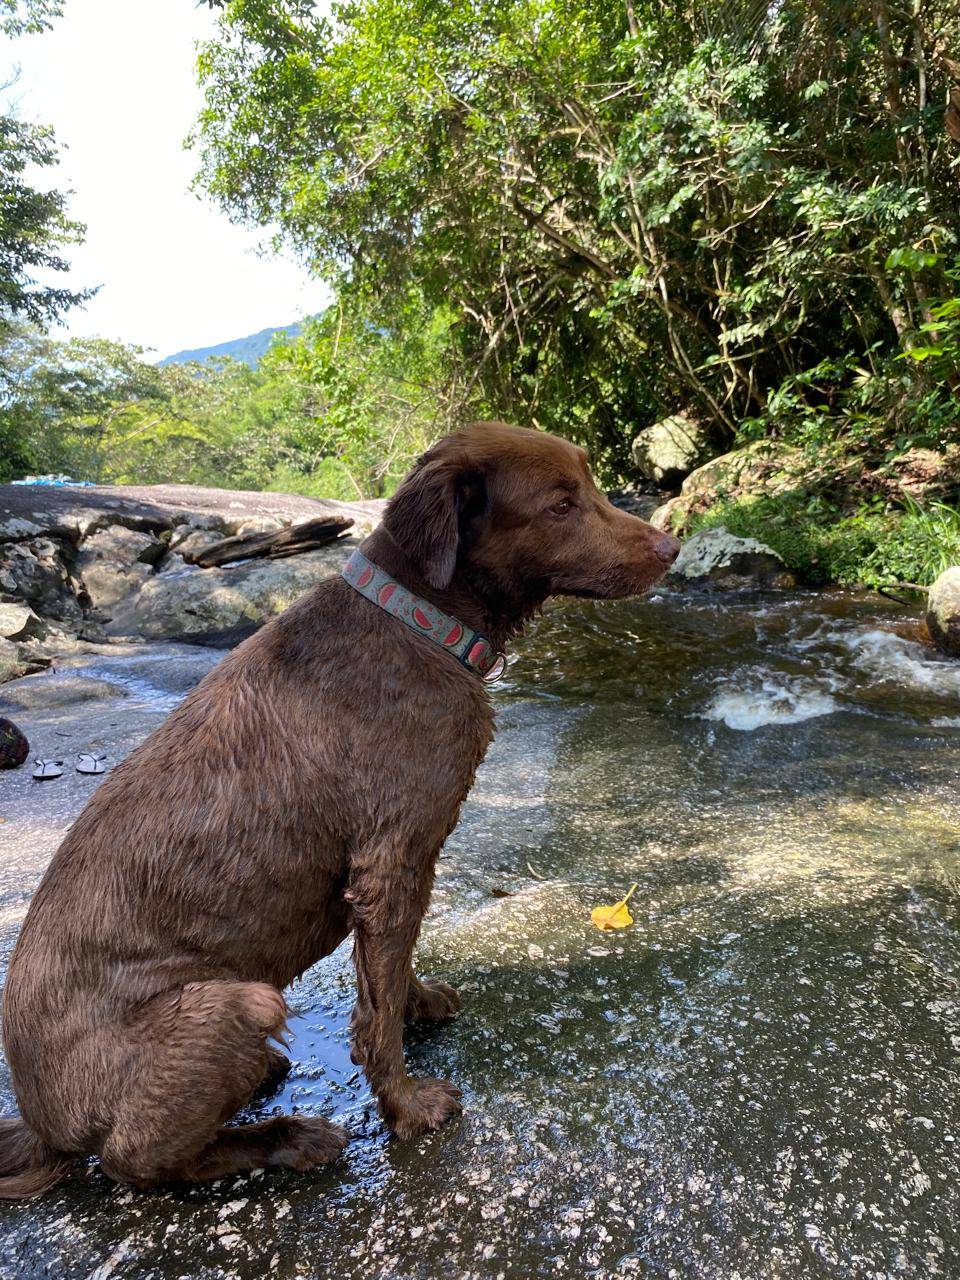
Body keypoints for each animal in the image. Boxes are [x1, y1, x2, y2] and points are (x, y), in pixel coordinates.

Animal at [0, 424, 675, 1192]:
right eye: (562, 504)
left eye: (589, 485)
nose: (672, 547)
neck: (418, 621)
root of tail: (40, 1122)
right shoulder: (388, 862)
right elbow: (376, 1013)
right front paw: (406, 1107)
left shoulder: (402, 865)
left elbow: (390, 971)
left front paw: (419, 1003)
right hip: (242, 1001)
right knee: (136, 1161)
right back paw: (288, 1139)